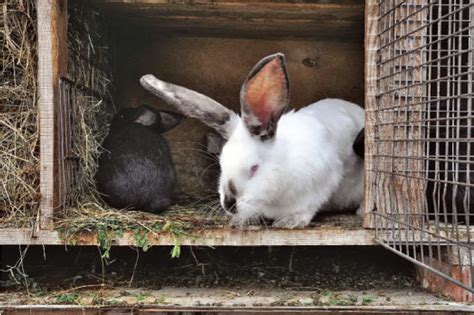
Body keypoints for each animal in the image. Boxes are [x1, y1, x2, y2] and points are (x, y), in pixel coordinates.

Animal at [139, 53, 364, 228]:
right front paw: (243, 220)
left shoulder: (322, 182)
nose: (229, 204)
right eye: (221, 164)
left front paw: (289, 222)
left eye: (254, 168)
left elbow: (307, 207)